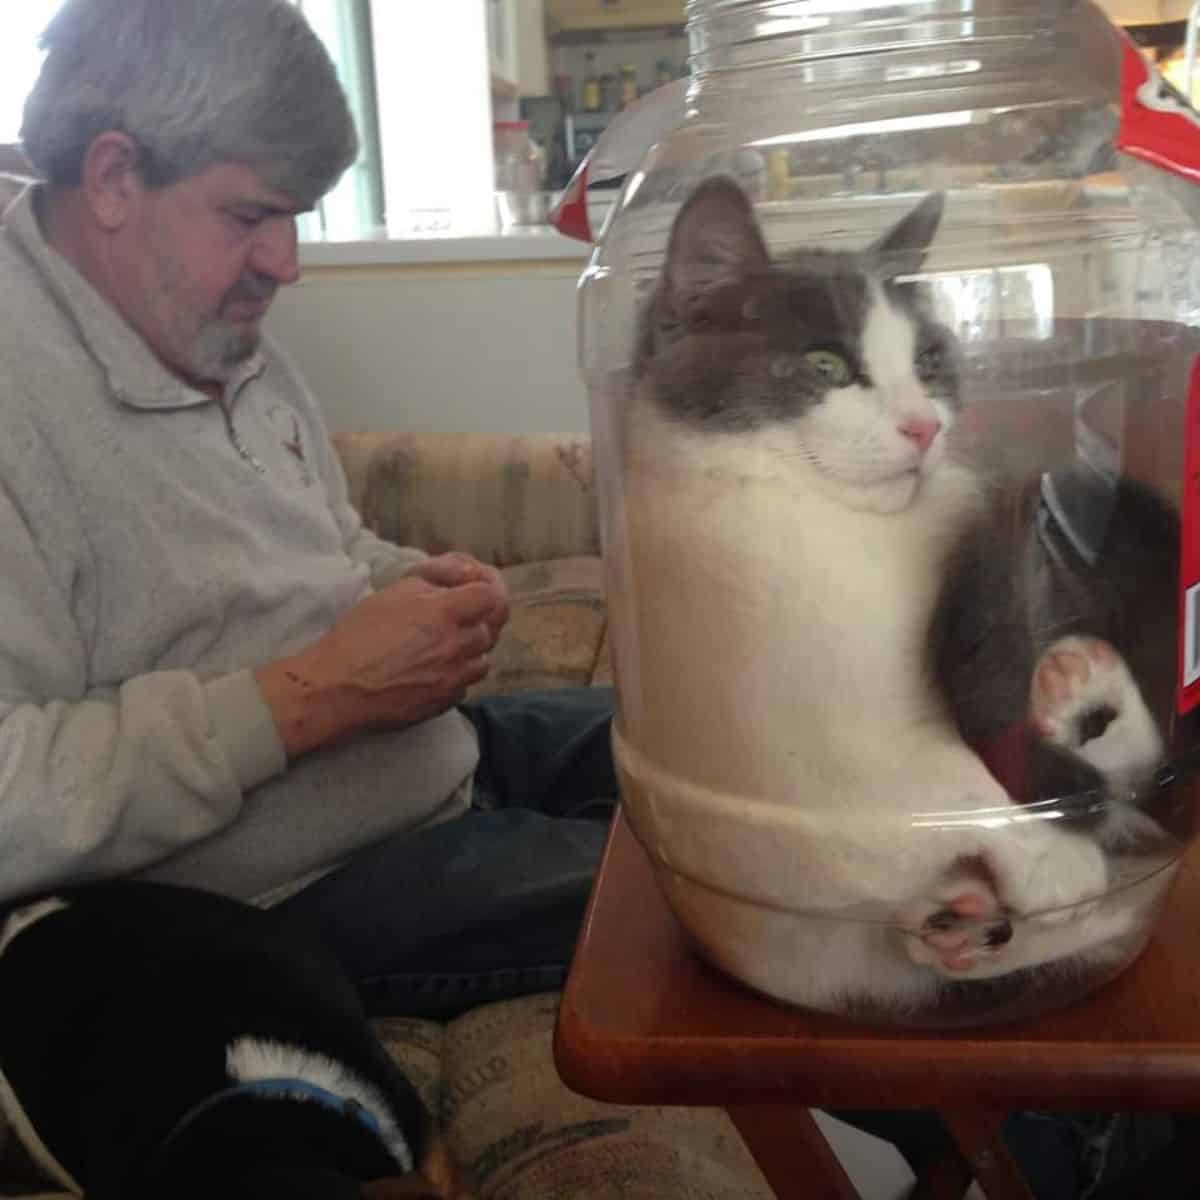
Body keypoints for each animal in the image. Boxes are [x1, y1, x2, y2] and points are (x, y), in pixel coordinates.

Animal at [609, 175, 1190, 1022]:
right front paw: (1050, 859)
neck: (844, 532)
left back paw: (1079, 693)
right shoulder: (784, 742)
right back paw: (966, 922)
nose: (924, 427)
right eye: (824, 364)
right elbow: (937, 785)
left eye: (929, 359)